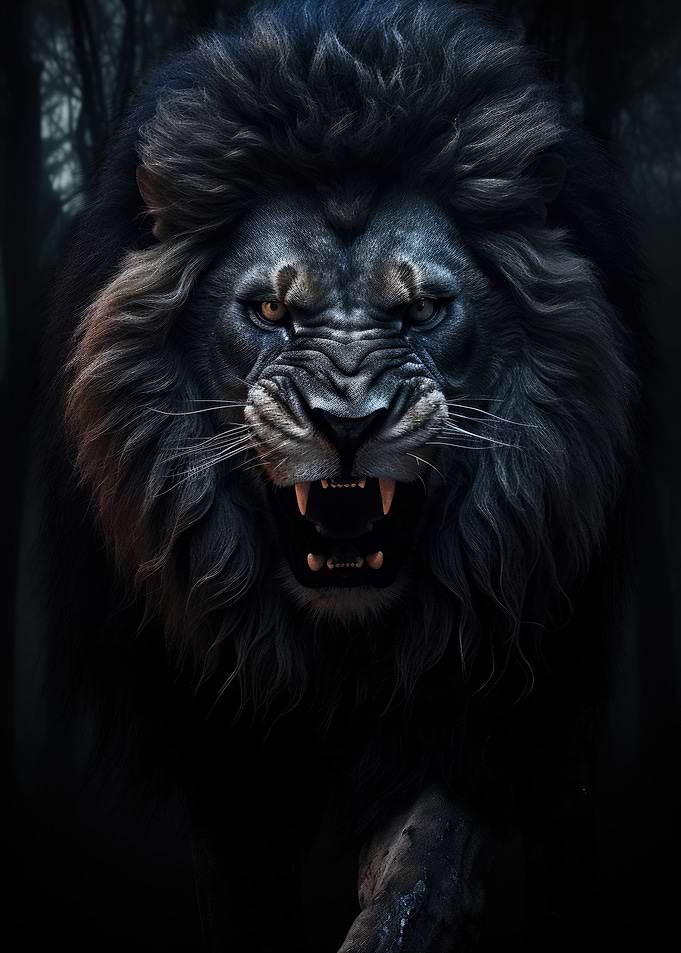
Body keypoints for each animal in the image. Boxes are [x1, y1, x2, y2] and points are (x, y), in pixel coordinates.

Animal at [41, 0, 647, 949]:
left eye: (424, 309)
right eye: (268, 310)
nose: (350, 424)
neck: (340, 652)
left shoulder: (478, 706)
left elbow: (417, 864)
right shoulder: (221, 756)